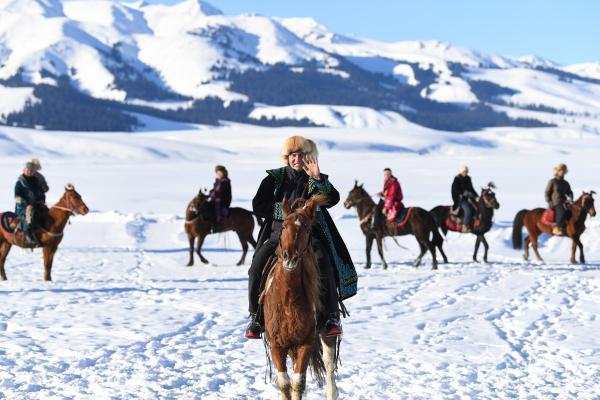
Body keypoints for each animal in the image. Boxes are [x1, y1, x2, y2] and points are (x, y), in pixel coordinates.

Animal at [262, 195, 340, 400]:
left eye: (306, 228)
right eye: (283, 226)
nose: (290, 257)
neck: (288, 299)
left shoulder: (306, 342)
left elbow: (298, 383)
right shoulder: (276, 344)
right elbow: (284, 383)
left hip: (326, 333)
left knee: (329, 365)